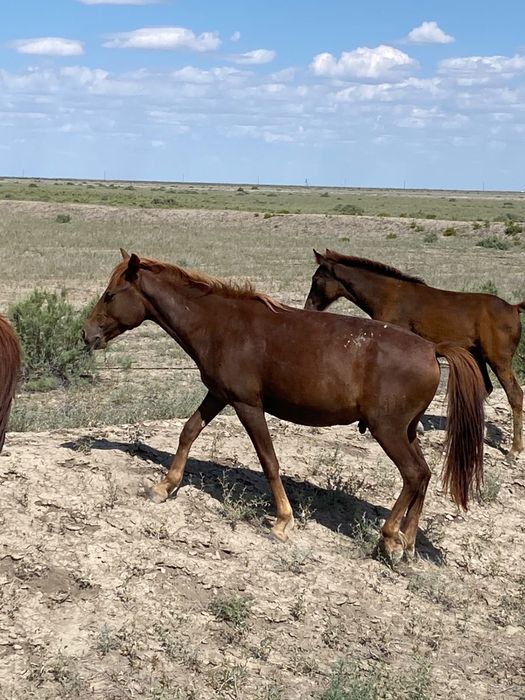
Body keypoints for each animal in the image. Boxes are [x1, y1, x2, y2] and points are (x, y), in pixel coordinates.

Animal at [83, 249, 485, 563]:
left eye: (110, 294)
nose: (86, 334)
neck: (220, 324)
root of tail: (432, 349)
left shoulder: (247, 405)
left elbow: (269, 461)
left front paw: (281, 521)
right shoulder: (219, 395)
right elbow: (189, 432)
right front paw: (164, 486)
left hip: (388, 431)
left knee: (413, 475)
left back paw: (389, 539)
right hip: (406, 431)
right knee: (424, 475)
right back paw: (410, 542)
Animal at [305, 249, 524, 456]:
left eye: (316, 279)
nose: (308, 308)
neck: (389, 296)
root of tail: (513, 308)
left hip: (498, 360)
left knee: (515, 394)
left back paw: (514, 450)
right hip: (477, 357)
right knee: (484, 389)